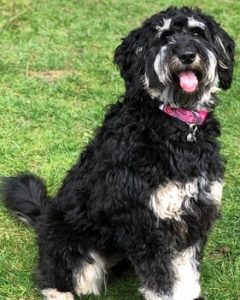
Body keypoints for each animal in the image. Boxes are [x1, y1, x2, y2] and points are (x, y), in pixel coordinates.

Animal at [0, 5, 234, 300]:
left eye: (197, 33)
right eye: (164, 36)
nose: (187, 55)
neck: (176, 125)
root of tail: (43, 217)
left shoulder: (193, 216)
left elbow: (185, 272)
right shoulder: (147, 222)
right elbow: (164, 281)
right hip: (71, 247)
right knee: (53, 276)